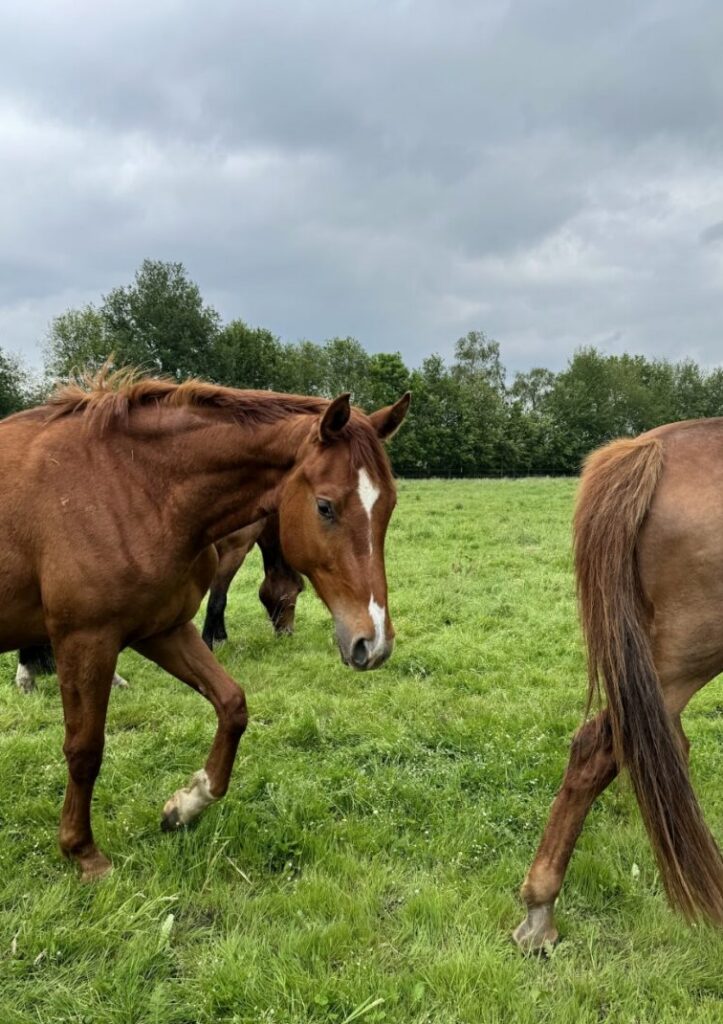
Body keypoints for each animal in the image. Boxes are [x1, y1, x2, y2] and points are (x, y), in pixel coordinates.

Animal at [0, 371, 410, 881]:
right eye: (325, 507)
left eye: (388, 506)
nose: (373, 644)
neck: (130, 485)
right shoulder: (85, 639)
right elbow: (84, 748)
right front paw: (83, 851)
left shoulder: (163, 629)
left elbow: (232, 705)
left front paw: (186, 804)